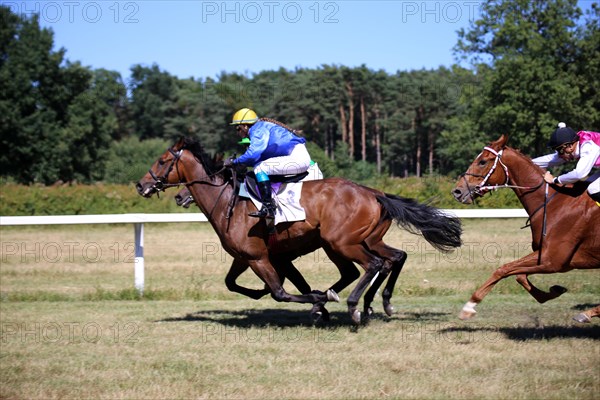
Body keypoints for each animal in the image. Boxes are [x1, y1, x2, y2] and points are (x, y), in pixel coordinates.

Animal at [137, 136, 464, 324]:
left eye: (163, 161)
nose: (141, 185)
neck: (230, 202)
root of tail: (375, 193)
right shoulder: (251, 257)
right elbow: (234, 283)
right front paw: (318, 303)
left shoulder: (259, 258)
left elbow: (281, 292)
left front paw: (320, 303)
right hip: (356, 242)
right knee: (392, 258)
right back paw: (380, 303)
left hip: (342, 242)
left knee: (373, 265)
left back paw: (355, 306)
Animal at [452, 134, 596, 322]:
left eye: (483, 161)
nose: (457, 191)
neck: (554, 203)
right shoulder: (545, 258)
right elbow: (519, 275)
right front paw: (553, 291)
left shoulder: (552, 260)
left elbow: (503, 269)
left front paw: (469, 306)